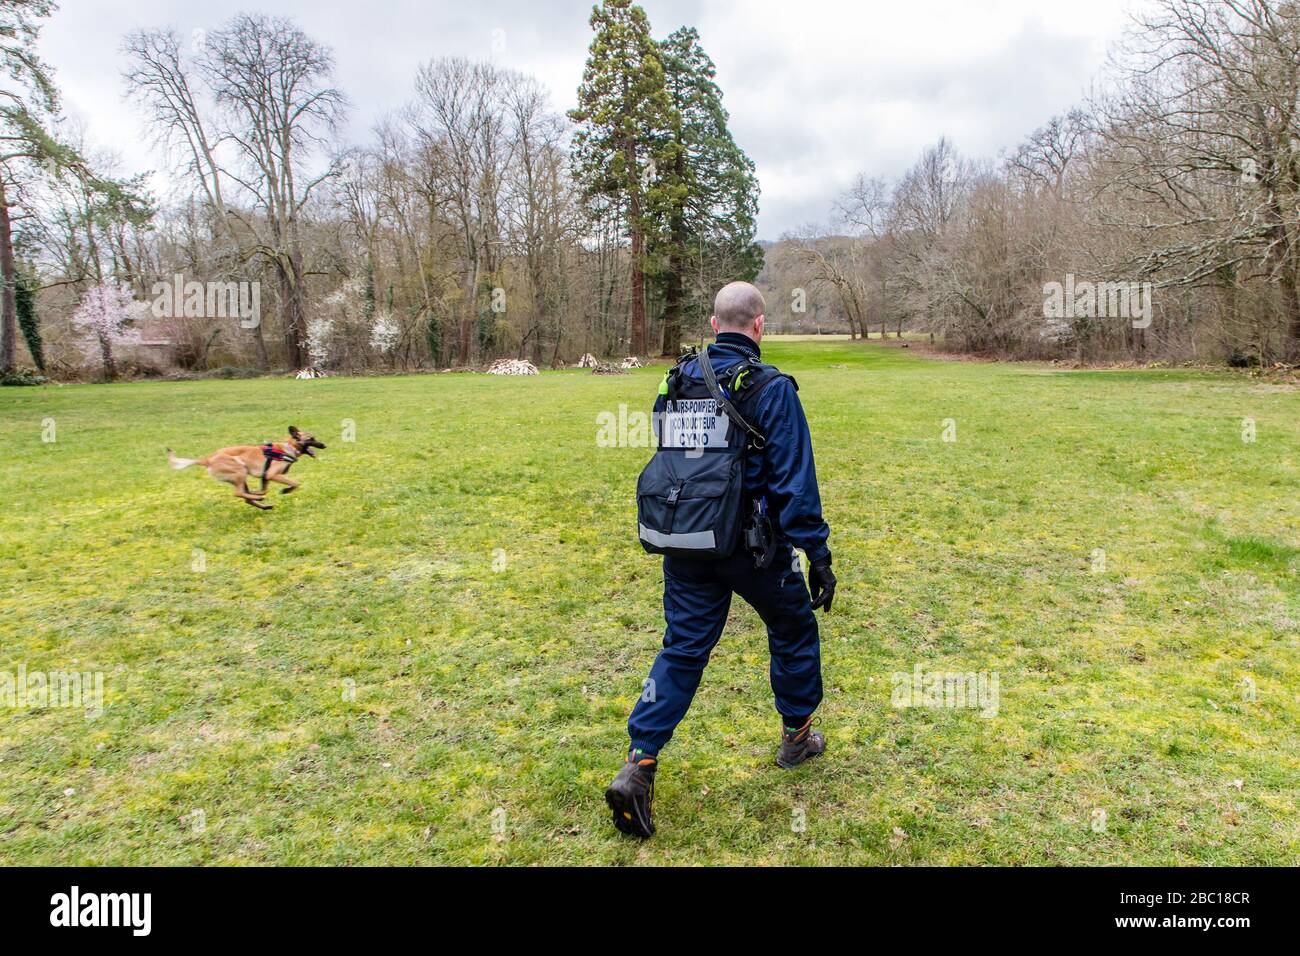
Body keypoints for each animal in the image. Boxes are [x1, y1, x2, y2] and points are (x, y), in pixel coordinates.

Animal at [167, 426, 325, 509]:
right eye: (311, 439)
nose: (324, 445)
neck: (288, 448)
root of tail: (208, 459)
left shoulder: (266, 476)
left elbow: (264, 488)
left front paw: (258, 492)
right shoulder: (273, 475)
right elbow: (296, 483)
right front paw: (285, 490)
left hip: (241, 476)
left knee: (245, 497)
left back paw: (261, 502)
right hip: (240, 470)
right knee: (238, 493)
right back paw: (259, 499)